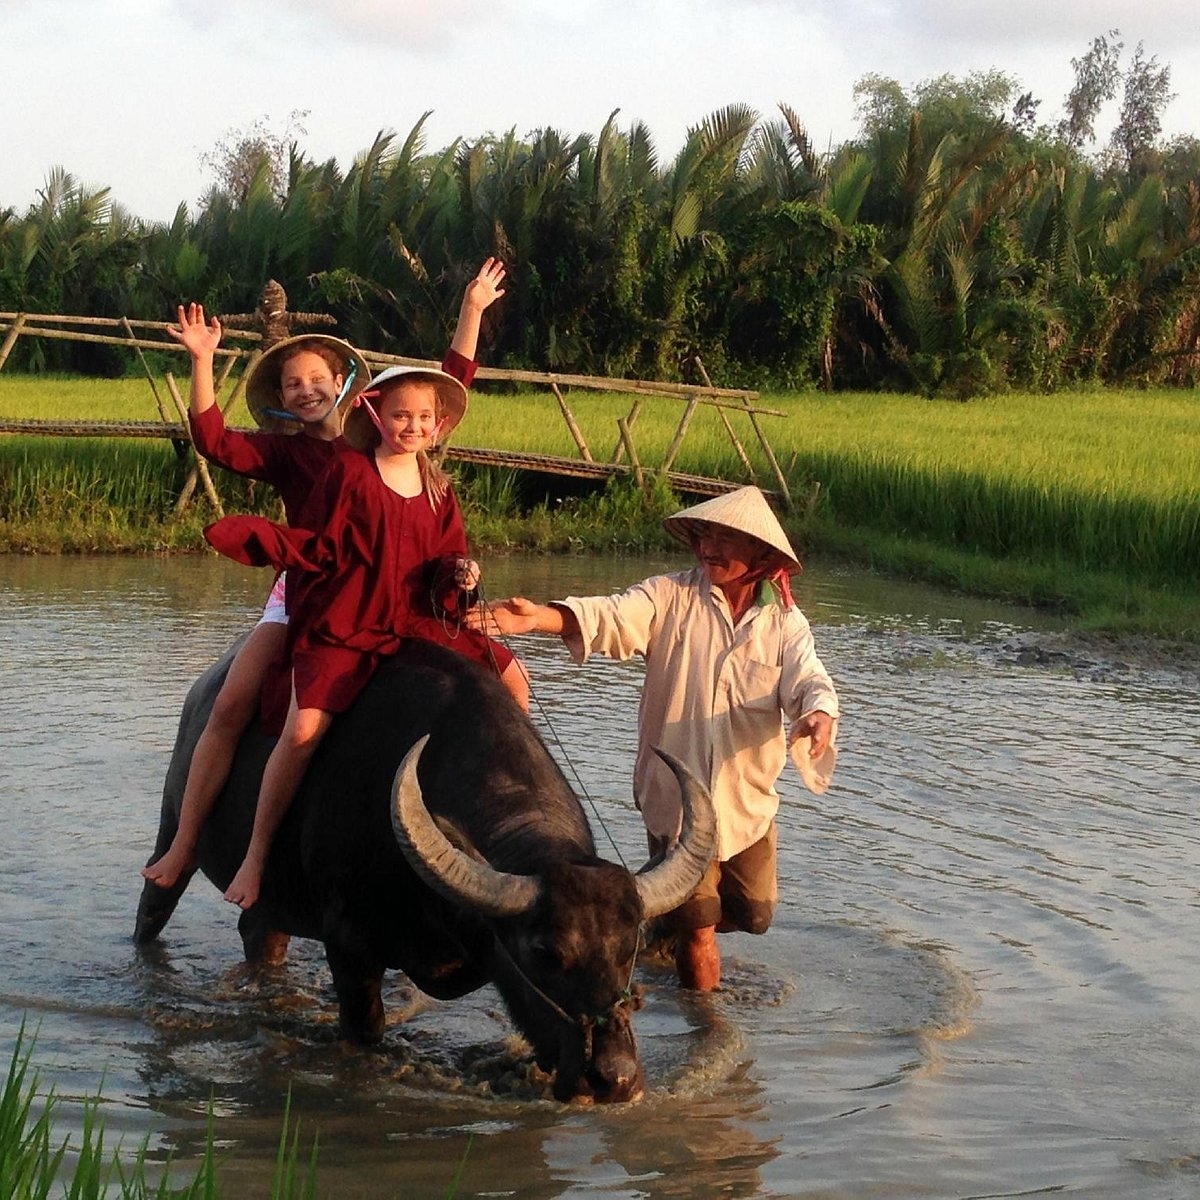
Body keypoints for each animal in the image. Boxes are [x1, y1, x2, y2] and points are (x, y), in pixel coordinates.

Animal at [133, 633, 710, 1099]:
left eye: (630, 946)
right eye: (544, 951)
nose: (614, 1078)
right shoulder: (349, 945)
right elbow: (366, 1030)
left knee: (260, 932)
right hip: (173, 827)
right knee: (155, 903)